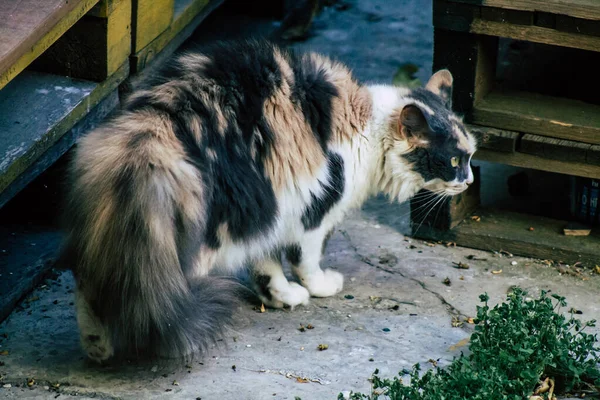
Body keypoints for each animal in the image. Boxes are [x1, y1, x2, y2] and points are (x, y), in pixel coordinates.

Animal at [59, 39, 474, 362]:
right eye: (454, 160)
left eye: (470, 154)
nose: (469, 180)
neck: (368, 128)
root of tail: (154, 127)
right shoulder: (312, 211)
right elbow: (305, 260)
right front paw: (318, 287)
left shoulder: (277, 210)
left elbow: (266, 263)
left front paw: (280, 296)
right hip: (218, 222)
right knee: (165, 293)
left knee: (92, 282)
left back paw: (97, 348)